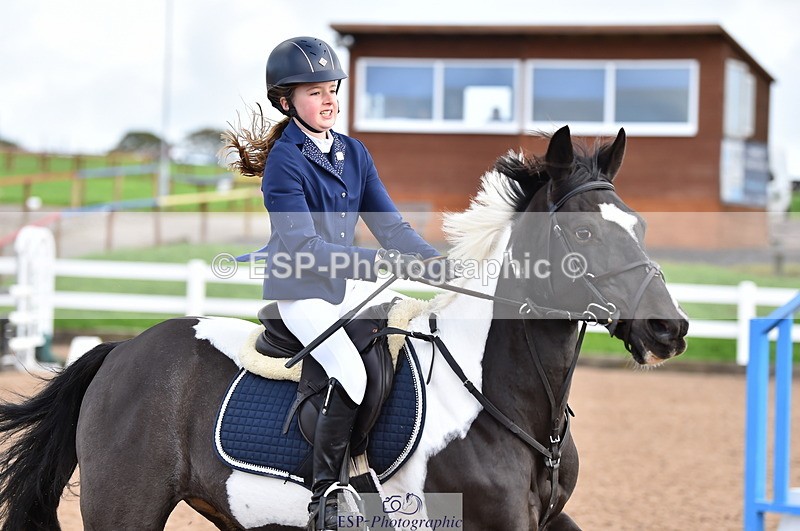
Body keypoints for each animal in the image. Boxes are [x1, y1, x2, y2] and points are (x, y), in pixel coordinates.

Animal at [0, 125, 688, 530]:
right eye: (582, 234)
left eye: (639, 225)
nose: (670, 328)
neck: (505, 402)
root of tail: (120, 353)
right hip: (127, 506)